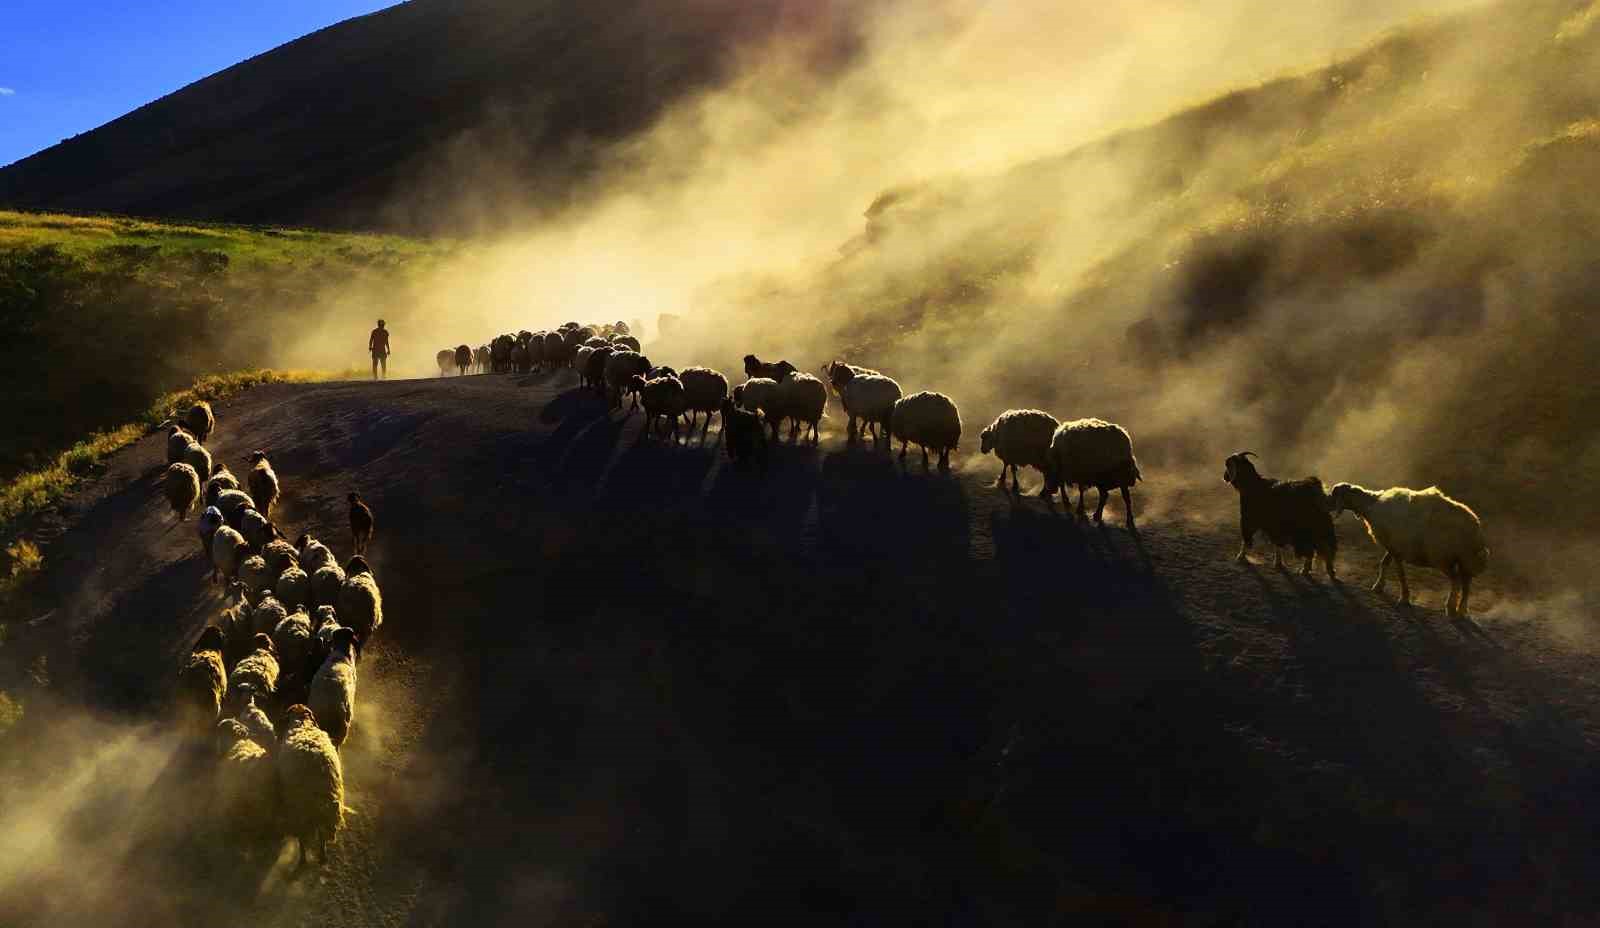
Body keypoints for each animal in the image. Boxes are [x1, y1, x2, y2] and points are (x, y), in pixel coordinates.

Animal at [1324, 480, 1484, 617]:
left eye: (1334, 494)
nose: (1325, 503)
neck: (1371, 505)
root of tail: (1474, 525)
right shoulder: (1392, 546)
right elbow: (1384, 563)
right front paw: (1378, 586)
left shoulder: (1397, 549)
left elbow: (1400, 574)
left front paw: (1404, 599)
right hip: (1465, 558)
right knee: (1466, 583)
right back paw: (1462, 610)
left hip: (1442, 556)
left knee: (1456, 580)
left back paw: (1450, 608)